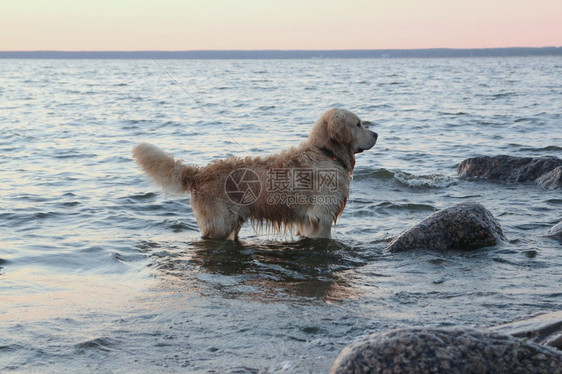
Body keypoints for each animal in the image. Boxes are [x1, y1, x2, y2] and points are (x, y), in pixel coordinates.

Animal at [132, 107, 376, 240]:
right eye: (358, 124)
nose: (377, 134)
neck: (326, 152)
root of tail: (200, 172)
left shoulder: (309, 222)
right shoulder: (321, 218)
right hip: (219, 223)